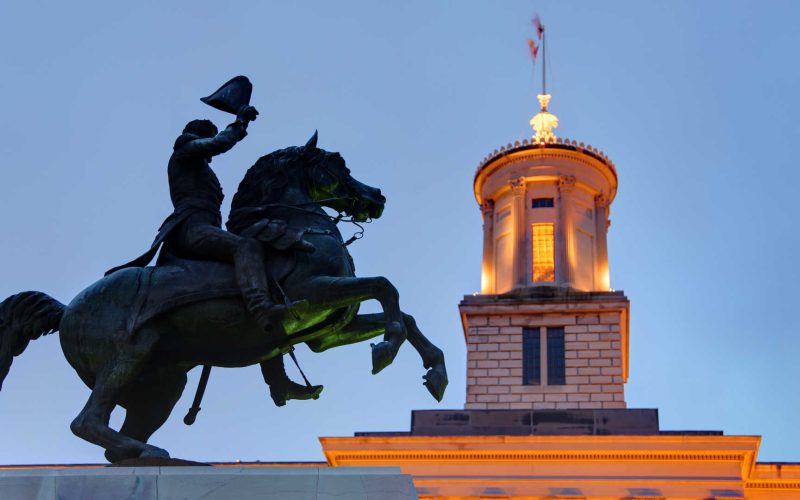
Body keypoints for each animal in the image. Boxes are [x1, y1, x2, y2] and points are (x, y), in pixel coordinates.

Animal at [0, 135, 450, 462]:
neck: (300, 227)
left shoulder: (324, 332)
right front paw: (386, 349)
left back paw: (149, 453)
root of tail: (67, 309)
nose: (377, 197)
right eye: (338, 164)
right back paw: (148, 449)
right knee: (87, 421)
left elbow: (403, 313)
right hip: (131, 353)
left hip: (163, 384)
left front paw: (435, 373)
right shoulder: (315, 293)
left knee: (115, 439)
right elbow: (386, 287)